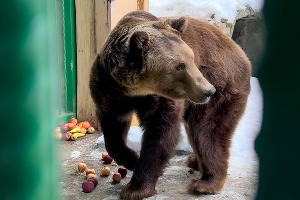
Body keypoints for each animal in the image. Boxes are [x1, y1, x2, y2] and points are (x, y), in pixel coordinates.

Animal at [88, 10, 251, 198]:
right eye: (180, 66)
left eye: (192, 58)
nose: (208, 91)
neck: (134, 91)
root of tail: (241, 53)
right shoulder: (108, 89)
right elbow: (113, 131)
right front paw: (132, 159)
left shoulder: (158, 99)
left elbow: (161, 132)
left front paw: (136, 188)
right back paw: (195, 162)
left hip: (222, 84)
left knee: (206, 131)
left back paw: (206, 183)